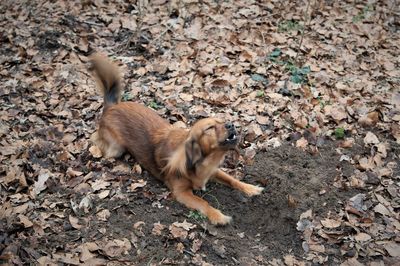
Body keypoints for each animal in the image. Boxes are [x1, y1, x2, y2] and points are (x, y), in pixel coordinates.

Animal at [91, 54, 266, 224]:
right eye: (209, 128)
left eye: (222, 121)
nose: (231, 124)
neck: (204, 162)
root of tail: (112, 106)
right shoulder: (181, 192)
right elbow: (203, 203)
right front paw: (218, 216)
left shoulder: (214, 171)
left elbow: (232, 179)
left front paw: (250, 188)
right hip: (116, 149)